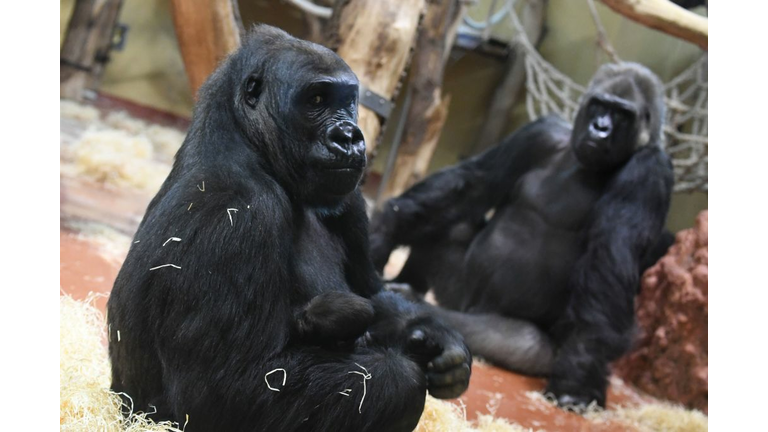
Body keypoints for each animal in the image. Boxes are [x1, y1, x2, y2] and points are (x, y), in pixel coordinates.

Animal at [105, 27, 472, 432]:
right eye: (316, 99)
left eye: (348, 101)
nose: (349, 136)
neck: (248, 144)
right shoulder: (240, 210)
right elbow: (227, 390)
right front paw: (403, 376)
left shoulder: (350, 199)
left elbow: (374, 293)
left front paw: (440, 338)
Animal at [368, 61, 676, 408]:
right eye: (599, 105)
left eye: (622, 114)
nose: (600, 128)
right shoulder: (540, 134)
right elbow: (471, 185)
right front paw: (384, 232)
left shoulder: (648, 169)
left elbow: (608, 264)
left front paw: (579, 374)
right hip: (459, 291)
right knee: (453, 221)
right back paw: (406, 289)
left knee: (518, 341)